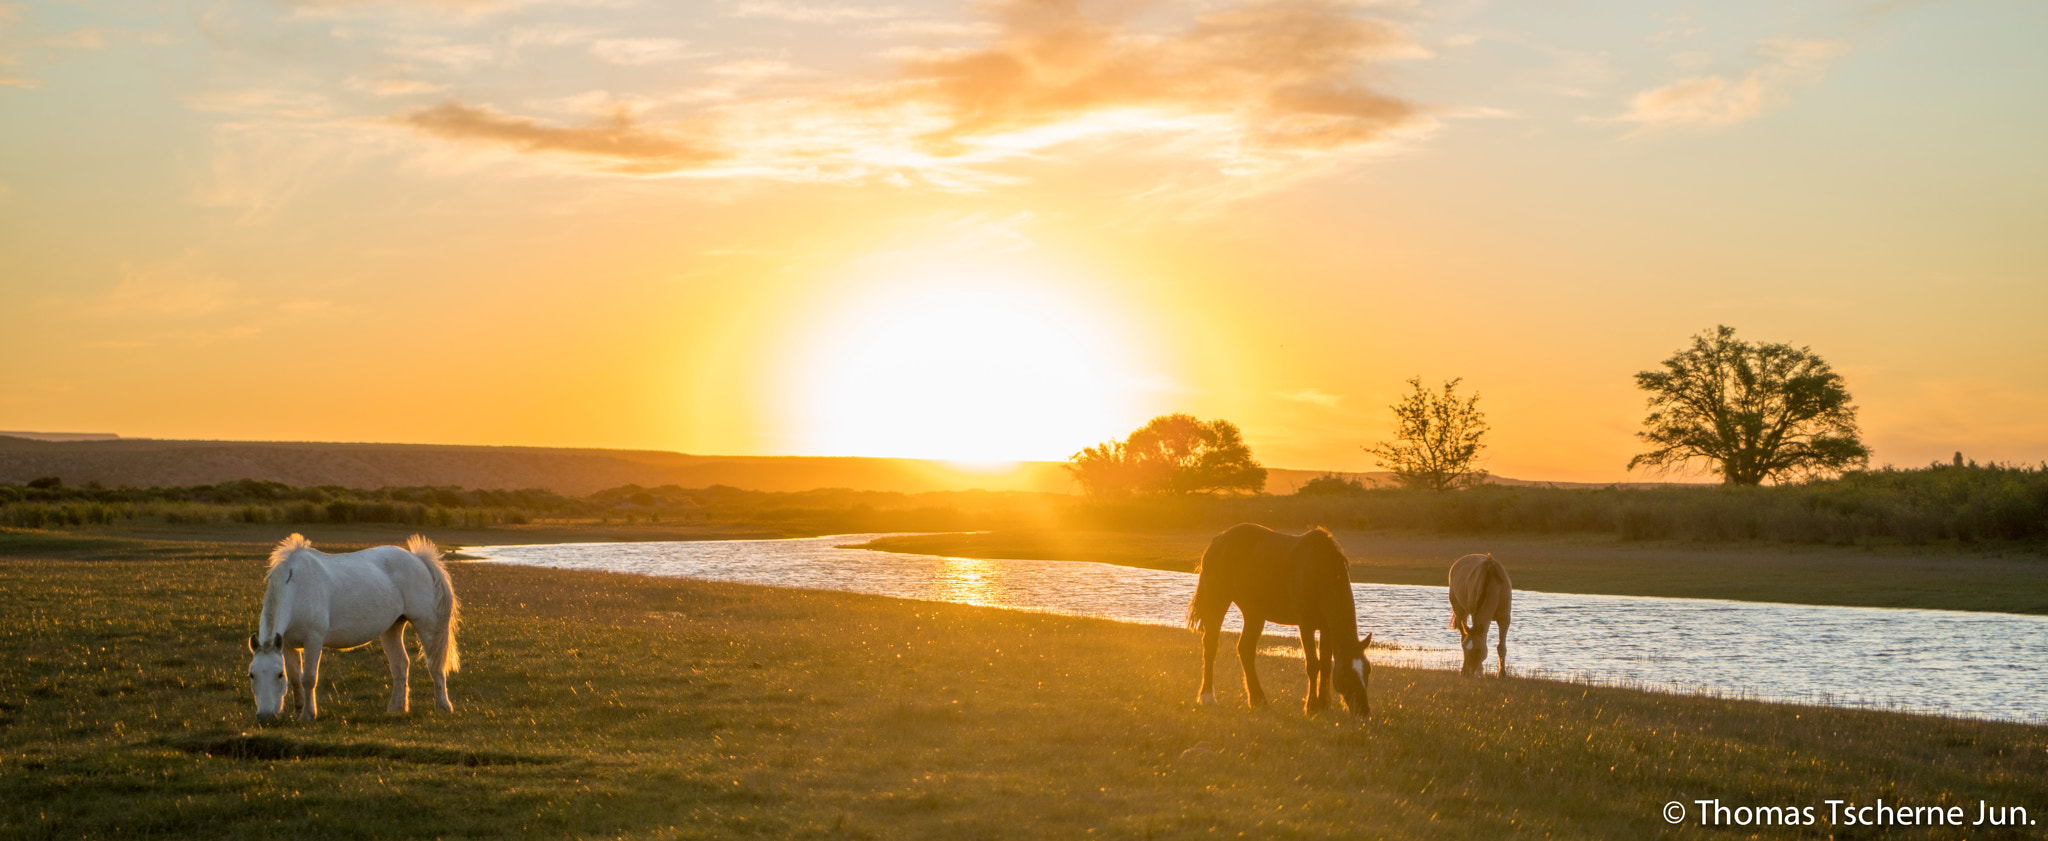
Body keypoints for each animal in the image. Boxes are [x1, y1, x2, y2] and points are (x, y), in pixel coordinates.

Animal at [245, 532, 462, 724]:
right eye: (252, 674)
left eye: (278, 675)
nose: (265, 716)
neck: (297, 586)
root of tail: (418, 558)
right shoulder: (289, 644)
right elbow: (296, 679)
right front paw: (297, 712)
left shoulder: (313, 640)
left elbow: (308, 678)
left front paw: (308, 715)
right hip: (392, 627)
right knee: (400, 664)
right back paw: (396, 708)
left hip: (426, 624)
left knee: (434, 664)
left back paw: (443, 706)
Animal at [1187, 527, 1376, 716]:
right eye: (1346, 674)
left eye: (1368, 670)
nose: (1363, 710)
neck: (1318, 569)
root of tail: (1218, 540)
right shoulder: (1306, 625)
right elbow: (1313, 665)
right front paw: (1312, 706)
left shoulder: (1326, 628)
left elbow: (1326, 664)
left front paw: (1324, 704)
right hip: (1218, 602)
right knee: (1211, 645)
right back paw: (1207, 696)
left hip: (1254, 614)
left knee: (1245, 650)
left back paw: (1258, 700)